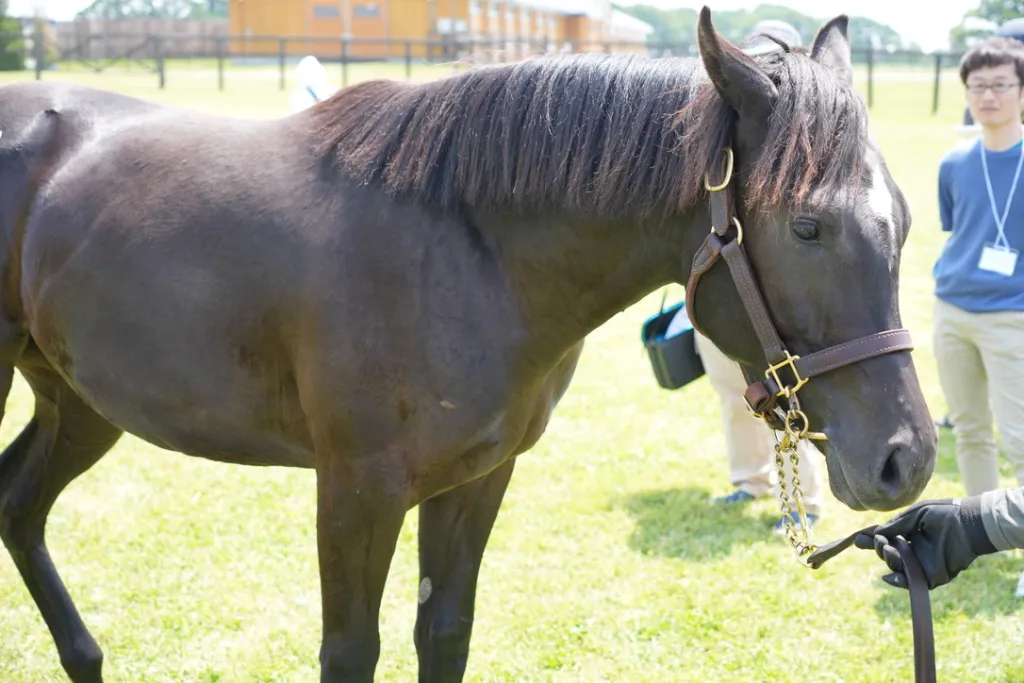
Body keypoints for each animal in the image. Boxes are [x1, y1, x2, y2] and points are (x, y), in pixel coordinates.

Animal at [0, 8, 936, 682]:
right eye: (808, 225)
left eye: (902, 217)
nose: (908, 458)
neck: (461, 245)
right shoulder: (356, 493)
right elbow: (352, 651)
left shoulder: (477, 478)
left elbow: (443, 632)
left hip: (79, 398)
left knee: (18, 502)